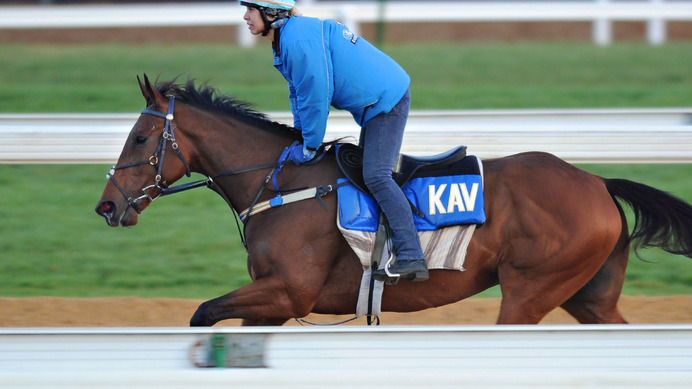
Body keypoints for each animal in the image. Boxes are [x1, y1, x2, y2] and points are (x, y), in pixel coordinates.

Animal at [93, 75, 692, 324]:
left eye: (140, 138)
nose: (107, 206)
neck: (281, 186)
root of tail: (596, 182)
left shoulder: (288, 292)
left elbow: (200, 313)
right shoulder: (275, 305)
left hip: (529, 291)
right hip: (588, 297)